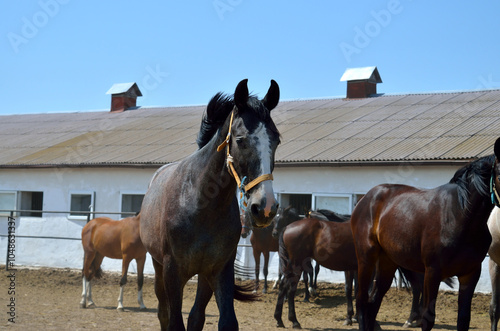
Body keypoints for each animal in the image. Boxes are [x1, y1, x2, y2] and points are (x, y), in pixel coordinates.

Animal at [139, 79, 282, 330]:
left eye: (276, 141)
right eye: (240, 140)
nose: (265, 208)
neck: (201, 206)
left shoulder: (219, 270)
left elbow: (225, 321)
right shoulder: (172, 272)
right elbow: (174, 321)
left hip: (203, 277)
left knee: (196, 316)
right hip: (158, 268)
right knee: (164, 313)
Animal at [350, 138, 500, 331]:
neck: (459, 216)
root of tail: (365, 198)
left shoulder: (470, 274)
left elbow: (463, 319)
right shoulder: (432, 272)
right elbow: (428, 318)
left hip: (387, 261)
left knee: (373, 303)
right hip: (366, 258)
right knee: (362, 301)